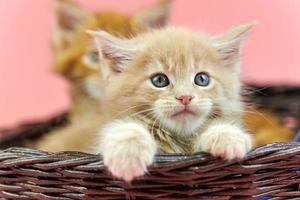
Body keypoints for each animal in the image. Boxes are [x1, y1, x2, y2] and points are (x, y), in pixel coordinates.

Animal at [90, 22, 254, 182]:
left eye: (202, 79)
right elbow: (126, 129)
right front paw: (128, 152)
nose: (185, 97)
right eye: (159, 80)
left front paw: (228, 136)